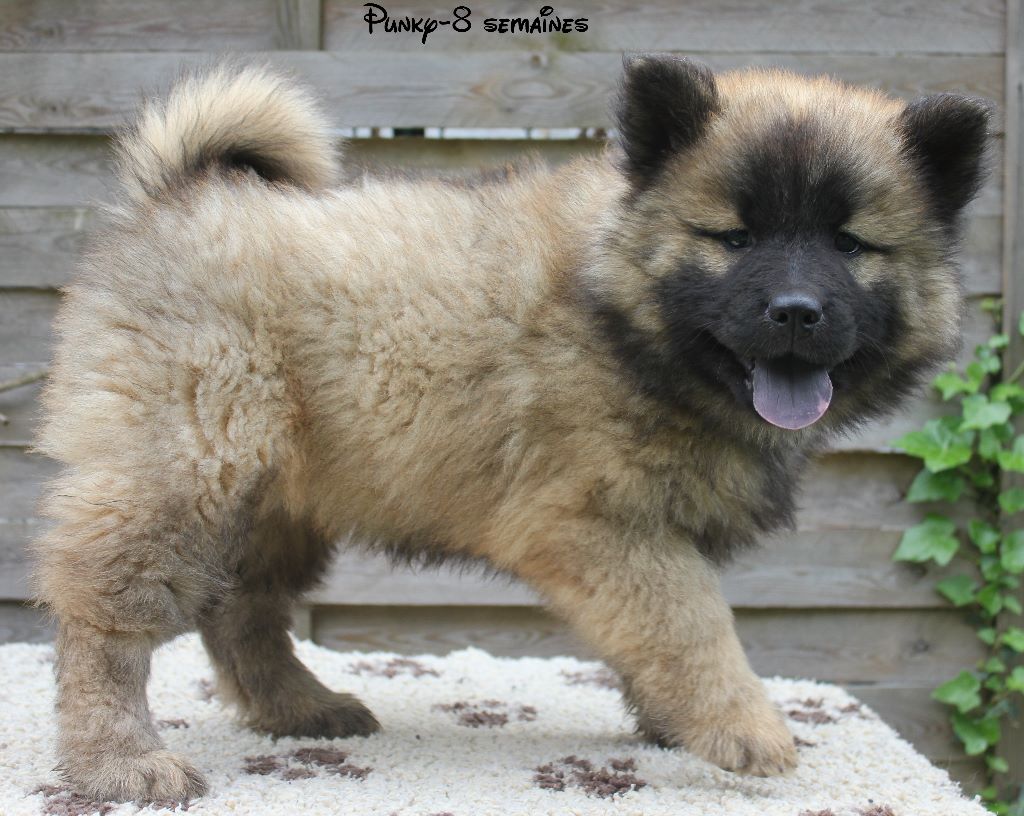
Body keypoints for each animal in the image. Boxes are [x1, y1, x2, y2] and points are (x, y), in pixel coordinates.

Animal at [32, 56, 990, 800]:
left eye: (850, 245)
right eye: (733, 237)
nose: (794, 311)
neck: (627, 320)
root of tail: (180, 195)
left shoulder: (642, 532)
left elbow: (657, 637)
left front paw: (673, 723)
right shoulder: (595, 524)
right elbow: (693, 625)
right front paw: (743, 727)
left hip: (277, 500)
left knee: (241, 610)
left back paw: (301, 709)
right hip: (183, 469)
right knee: (103, 621)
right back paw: (122, 762)